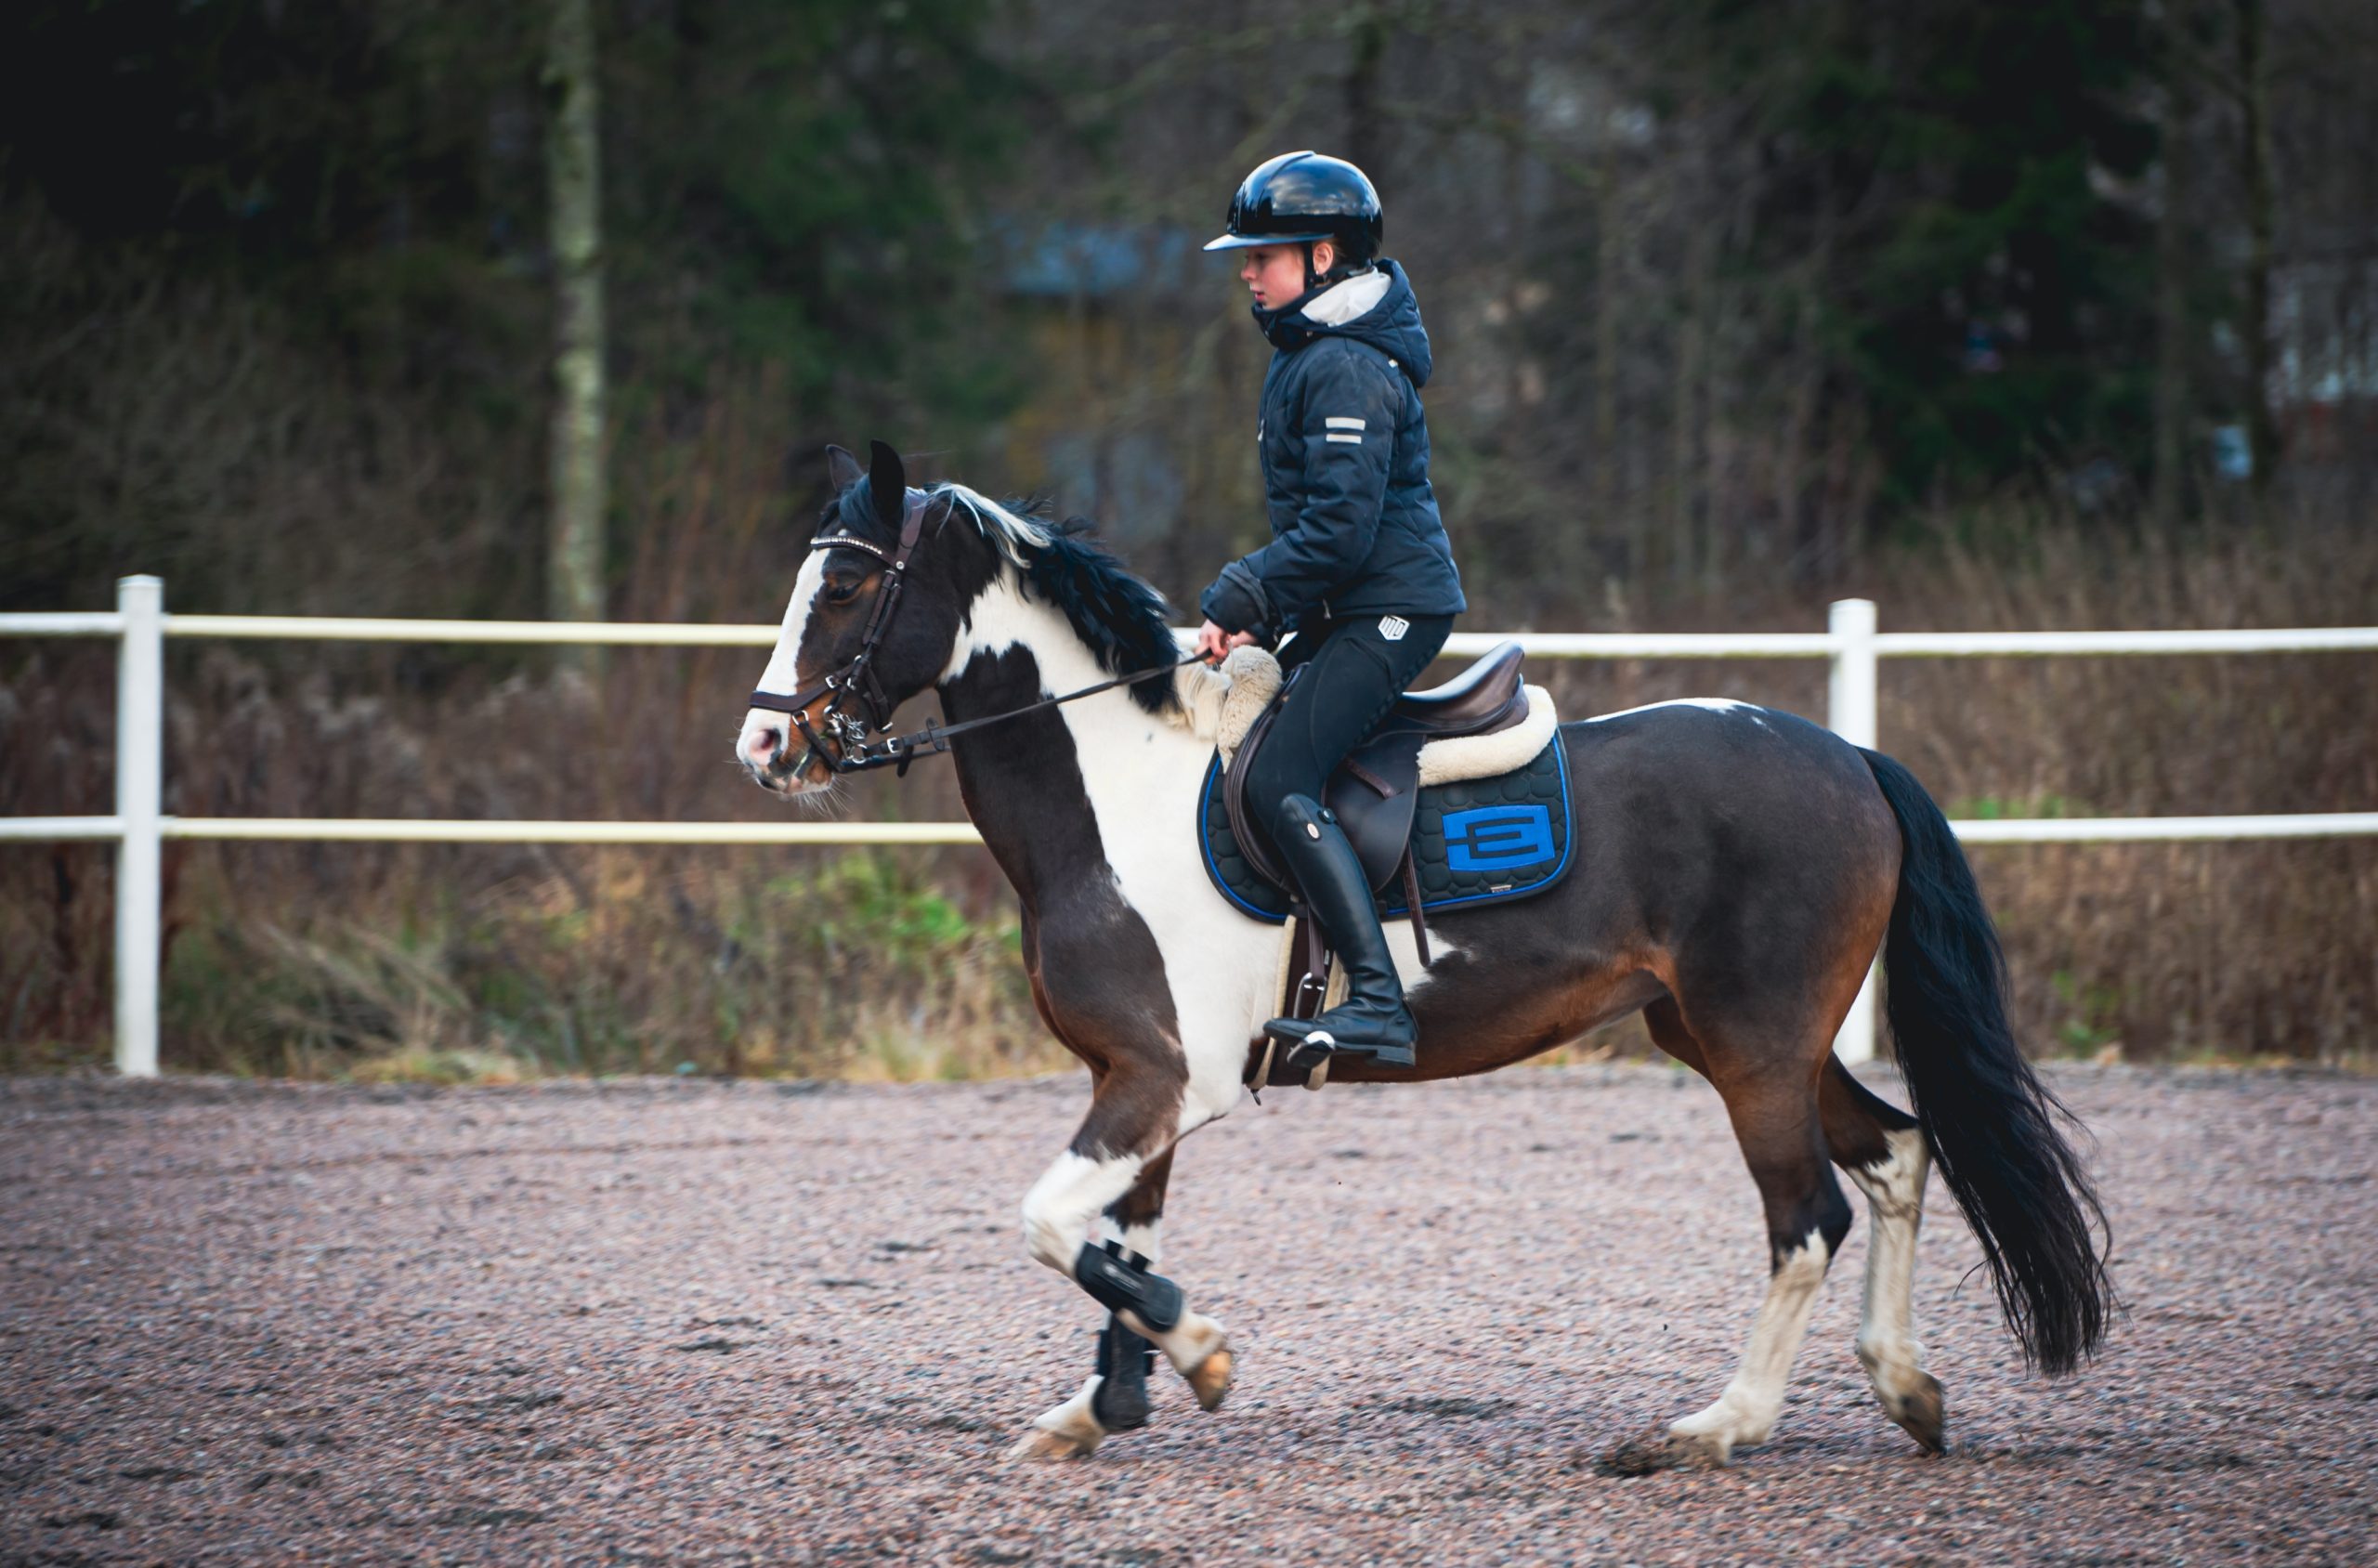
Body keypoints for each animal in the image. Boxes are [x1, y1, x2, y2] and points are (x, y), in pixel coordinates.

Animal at [732, 442, 2111, 1475]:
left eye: (843, 590)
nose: (765, 747)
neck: (1115, 794)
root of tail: (1848, 758)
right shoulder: (1135, 1080)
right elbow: (1116, 1245)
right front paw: (1101, 1410)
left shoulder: (1167, 1079)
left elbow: (1058, 1229)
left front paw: (1203, 1350)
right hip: (1738, 1036)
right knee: (1900, 1156)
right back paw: (1906, 1387)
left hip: (1754, 1047)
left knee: (1808, 1216)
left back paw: (1711, 1428)